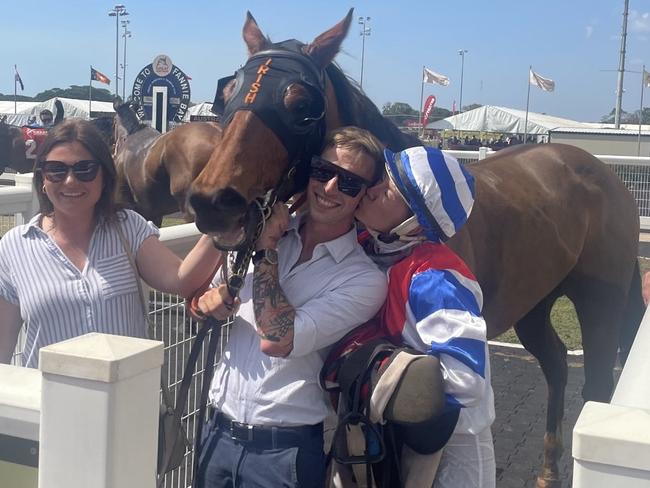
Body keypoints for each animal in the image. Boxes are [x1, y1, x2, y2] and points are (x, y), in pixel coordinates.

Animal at [185, 11, 640, 488]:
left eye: (301, 106)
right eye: (228, 94)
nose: (213, 200)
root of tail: (598, 170)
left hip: (600, 299)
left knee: (596, 386)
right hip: (535, 300)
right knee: (555, 362)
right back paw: (549, 471)